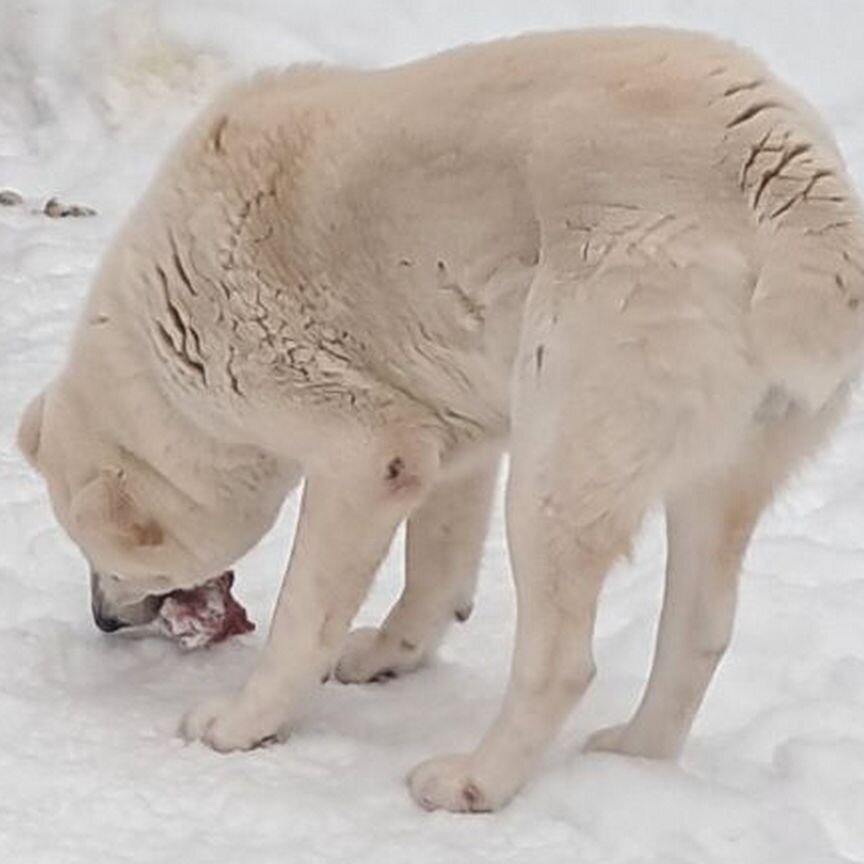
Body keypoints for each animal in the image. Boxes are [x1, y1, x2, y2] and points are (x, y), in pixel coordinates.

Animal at [16, 28, 864, 808]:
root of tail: (793, 189)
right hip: (718, 469)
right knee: (699, 631)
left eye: (111, 556)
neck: (171, 345)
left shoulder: (363, 450)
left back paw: (471, 781)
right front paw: (391, 655)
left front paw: (241, 724)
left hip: (560, 453)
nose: (103, 621)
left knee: (562, 660)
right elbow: (437, 563)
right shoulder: (454, 430)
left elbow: (303, 616)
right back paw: (632, 757)